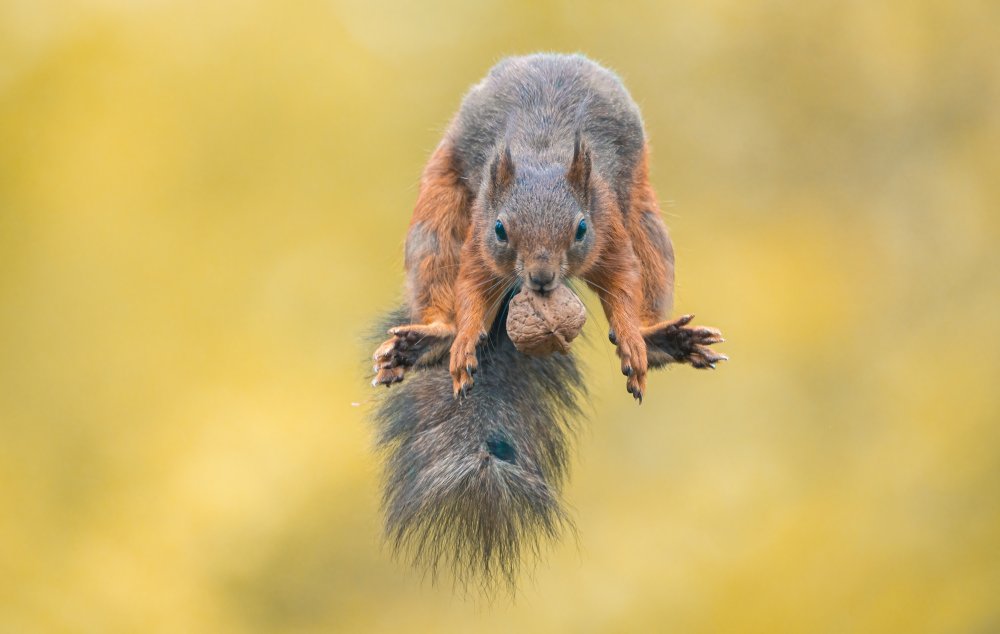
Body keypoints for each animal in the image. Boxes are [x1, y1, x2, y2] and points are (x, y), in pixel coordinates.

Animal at [368, 53, 728, 588]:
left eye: (580, 228)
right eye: (502, 229)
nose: (539, 277)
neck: (542, 156)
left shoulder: (610, 229)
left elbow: (624, 281)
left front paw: (632, 341)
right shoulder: (479, 237)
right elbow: (471, 289)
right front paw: (465, 343)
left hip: (643, 216)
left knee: (648, 260)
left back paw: (660, 339)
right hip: (439, 211)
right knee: (439, 266)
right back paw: (432, 338)